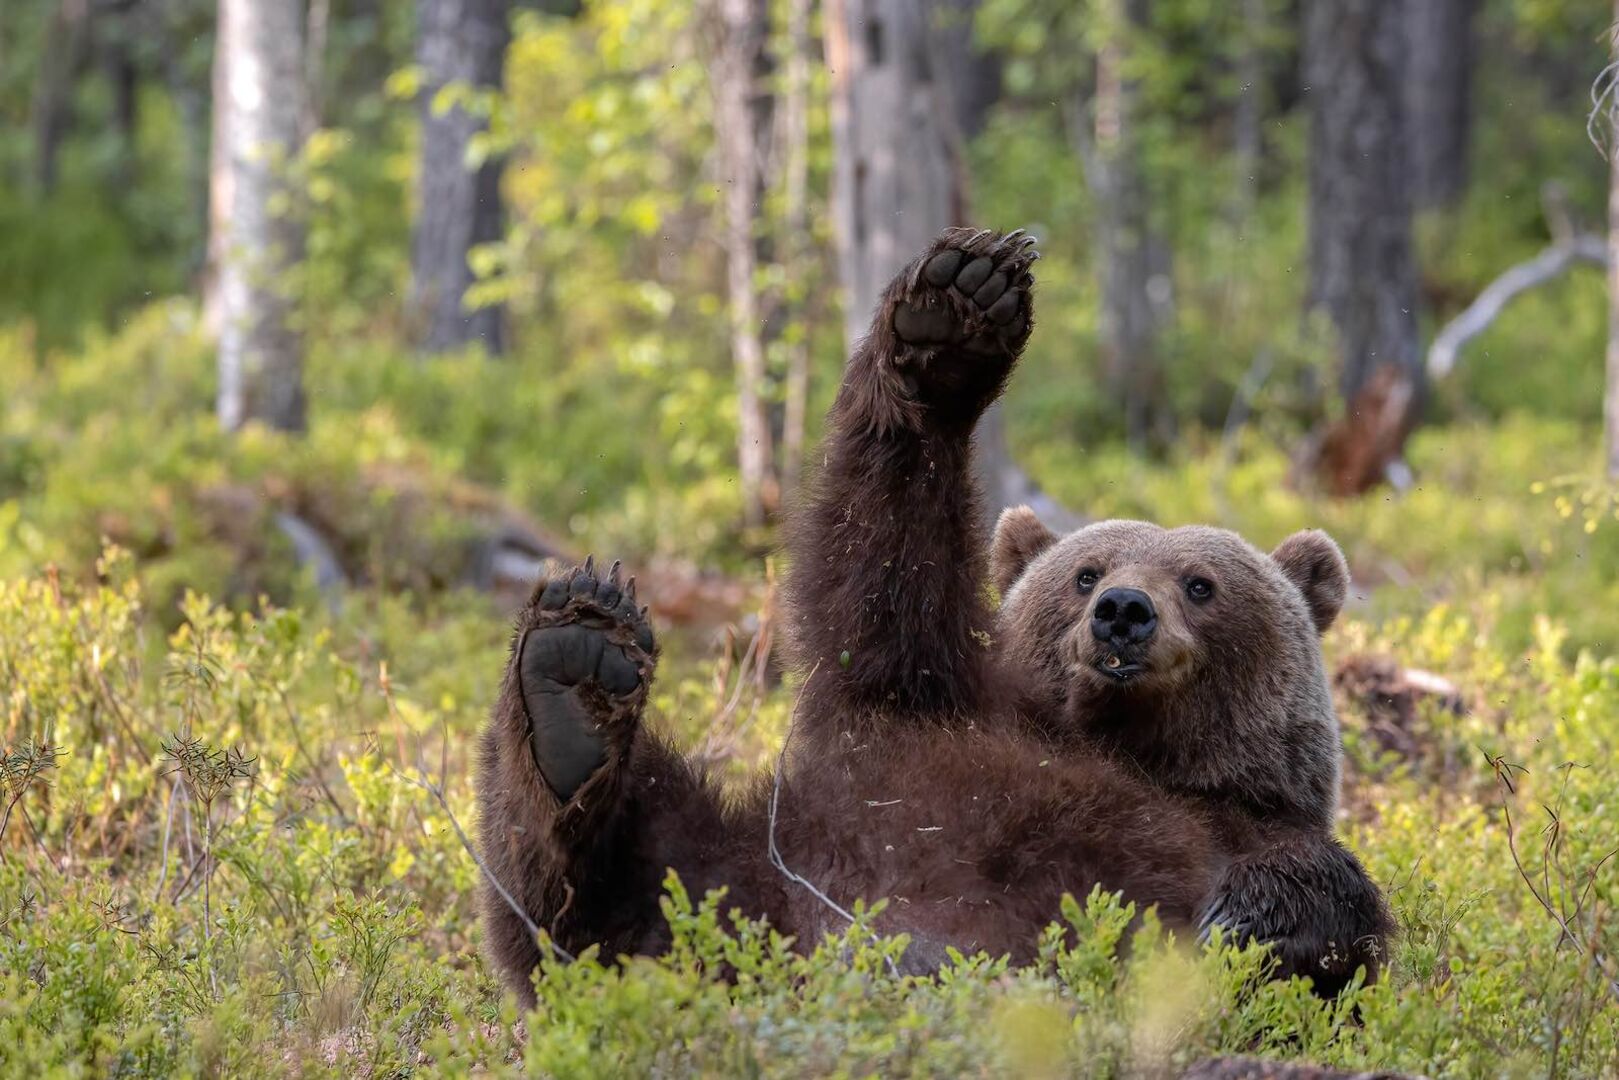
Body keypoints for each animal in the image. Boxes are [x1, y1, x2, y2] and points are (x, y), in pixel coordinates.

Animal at [475, 226, 1389, 1004]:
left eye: (1200, 583)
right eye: (1084, 572)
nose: (1123, 612)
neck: (1126, 747)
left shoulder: (1244, 824)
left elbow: (1328, 913)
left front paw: (1241, 923)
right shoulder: (914, 715)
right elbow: (880, 573)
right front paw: (951, 320)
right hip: (751, 883)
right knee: (612, 889)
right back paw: (572, 680)